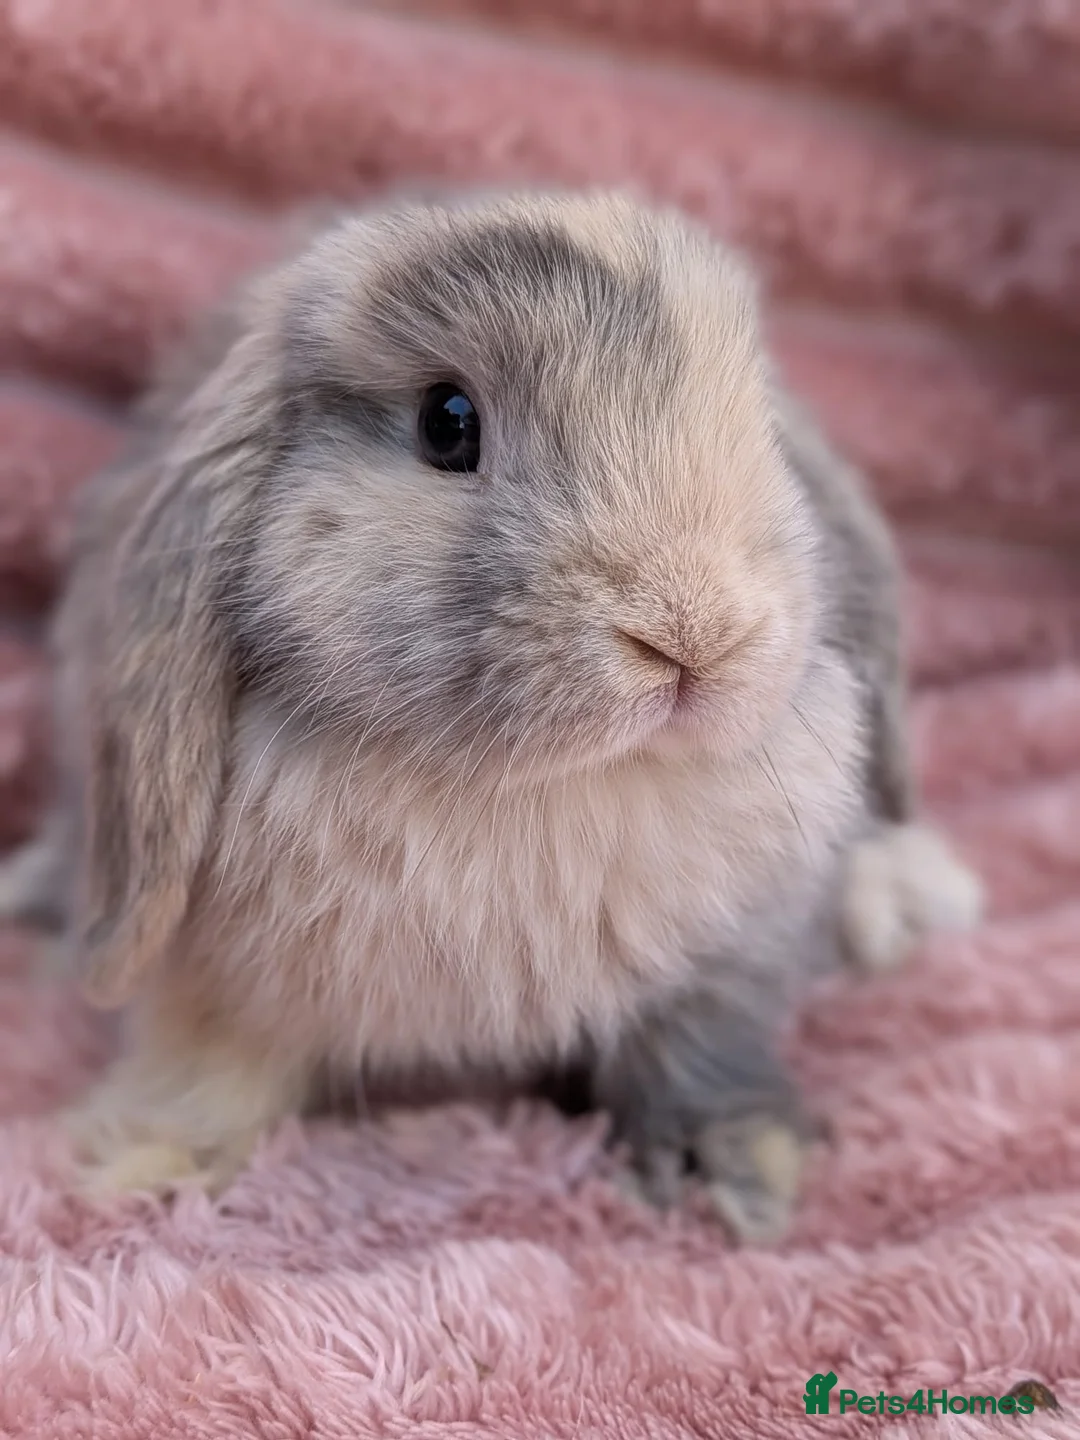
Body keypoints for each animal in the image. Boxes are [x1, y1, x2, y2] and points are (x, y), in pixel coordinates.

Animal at [1, 189, 981, 1240]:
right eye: (448, 422)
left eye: (756, 420)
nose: (695, 631)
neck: (545, 788)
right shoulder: (215, 985)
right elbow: (209, 1073)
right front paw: (141, 1164)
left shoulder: (724, 967)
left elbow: (700, 1054)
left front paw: (735, 1171)